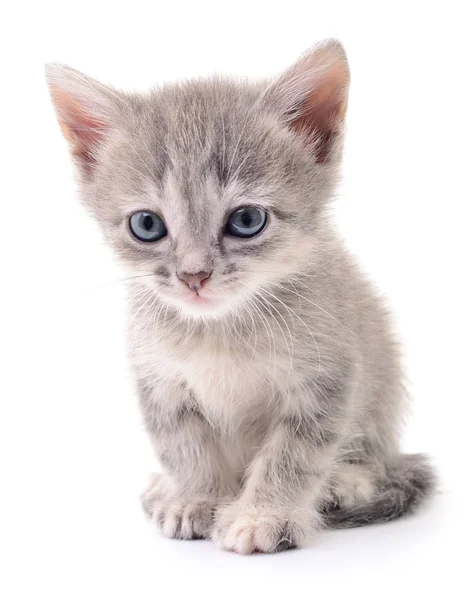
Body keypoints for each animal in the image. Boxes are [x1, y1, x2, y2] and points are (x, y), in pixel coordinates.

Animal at [46, 37, 436, 552]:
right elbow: (184, 446)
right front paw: (196, 498)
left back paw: (346, 482)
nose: (193, 276)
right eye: (147, 224)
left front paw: (263, 514)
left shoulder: (327, 378)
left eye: (246, 220)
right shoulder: (159, 382)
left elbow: (293, 454)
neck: (220, 330)